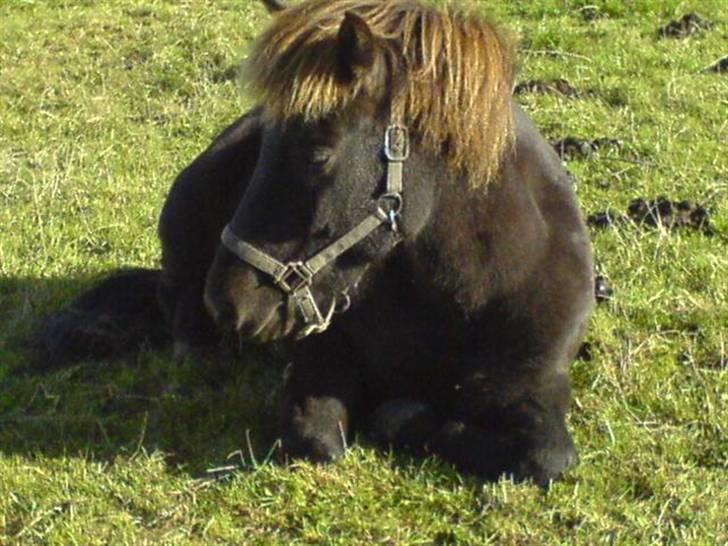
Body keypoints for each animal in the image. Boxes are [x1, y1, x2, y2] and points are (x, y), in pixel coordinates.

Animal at [37, 0, 596, 484]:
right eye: (266, 144)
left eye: (318, 152)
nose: (228, 301)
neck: (454, 296)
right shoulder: (322, 355)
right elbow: (317, 437)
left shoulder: (532, 385)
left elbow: (545, 457)